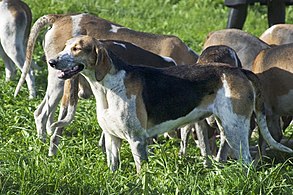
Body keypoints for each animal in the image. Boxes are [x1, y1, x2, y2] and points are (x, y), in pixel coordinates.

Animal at [48, 35, 292, 172]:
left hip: (236, 129)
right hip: (226, 127)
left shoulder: (137, 141)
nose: (51, 61)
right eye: (65, 47)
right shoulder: (111, 139)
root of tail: (238, 70)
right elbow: (113, 167)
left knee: (247, 162)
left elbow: (142, 173)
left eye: (77, 49)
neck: (107, 87)